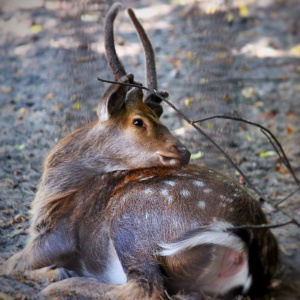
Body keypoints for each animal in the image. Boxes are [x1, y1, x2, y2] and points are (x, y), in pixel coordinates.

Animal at [3, 2, 278, 300]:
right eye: (139, 121)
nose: (183, 151)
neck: (52, 201)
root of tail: (247, 242)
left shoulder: (57, 238)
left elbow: (9, 263)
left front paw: (54, 273)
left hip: (132, 221)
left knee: (144, 285)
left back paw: (60, 283)